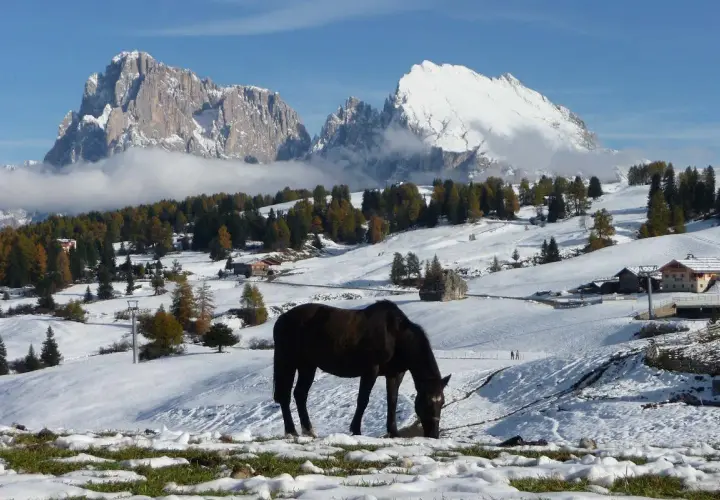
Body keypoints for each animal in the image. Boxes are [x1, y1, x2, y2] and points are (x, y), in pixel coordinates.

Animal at [272, 300, 451, 439]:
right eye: (427, 402)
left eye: (442, 402)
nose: (434, 435)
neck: (395, 335)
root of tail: (281, 319)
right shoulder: (370, 370)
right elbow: (363, 400)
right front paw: (356, 430)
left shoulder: (394, 374)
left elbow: (392, 401)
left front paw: (393, 432)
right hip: (287, 362)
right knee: (285, 396)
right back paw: (291, 432)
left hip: (307, 366)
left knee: (300, 394)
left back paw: (308, 431)